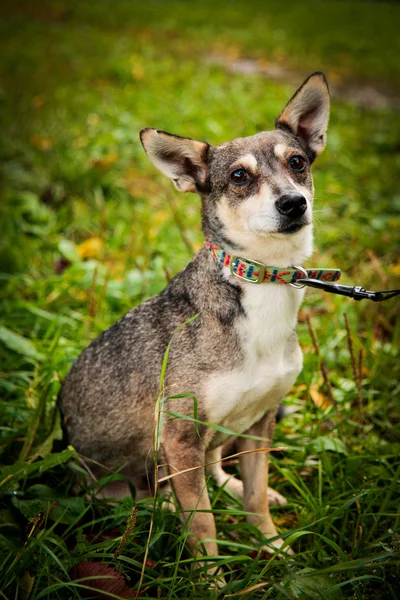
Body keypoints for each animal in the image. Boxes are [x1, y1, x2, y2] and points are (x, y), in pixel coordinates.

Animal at [60, 70, 332, 568]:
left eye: (298, 162)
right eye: (239, 176)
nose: (293, 203)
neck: (263, 284)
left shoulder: (260, 420)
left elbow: (256, 497)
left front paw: (273, 547)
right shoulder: (179, 437)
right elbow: (203, 524)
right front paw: (211, 575)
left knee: (215, 468)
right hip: (118, 478)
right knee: (150, 495)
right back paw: (165, 505)